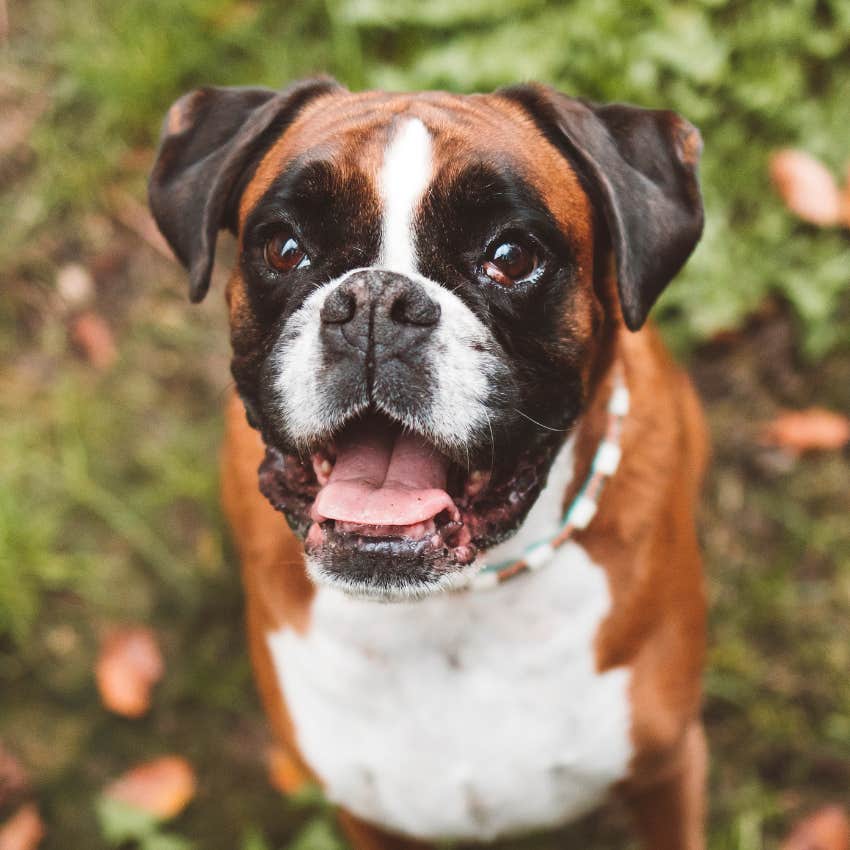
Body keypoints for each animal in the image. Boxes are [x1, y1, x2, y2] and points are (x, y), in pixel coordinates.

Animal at [149, 78, 704, 848]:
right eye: (284, 247)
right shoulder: (368, 816)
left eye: (511, 256)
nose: (375, 300)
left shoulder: (667, 771)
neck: (448, 610)